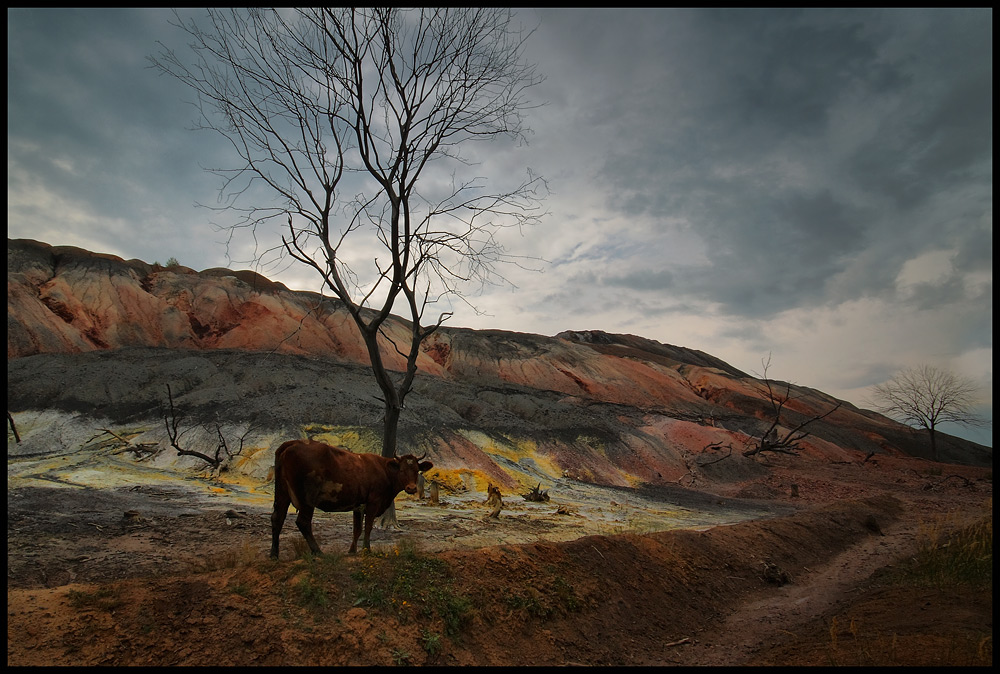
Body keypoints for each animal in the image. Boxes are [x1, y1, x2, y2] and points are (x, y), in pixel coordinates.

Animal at [272, 436, 432, 556]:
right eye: (402, 470)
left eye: (416, 470)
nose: (411, 488)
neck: (384, 470)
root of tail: (293, 443)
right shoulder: (373, 502)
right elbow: (368, 526)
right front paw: (366, 549)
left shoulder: (358, 505)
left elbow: (357, 529)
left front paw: (352, 551)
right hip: (307, 499)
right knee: (303, 522)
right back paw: (318, 552)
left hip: (282, 493)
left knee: (277, 518)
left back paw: (274, 554)